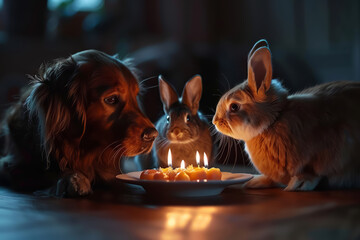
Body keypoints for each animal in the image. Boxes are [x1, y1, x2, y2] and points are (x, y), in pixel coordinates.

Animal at [0, 49, 158, 197]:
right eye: (111, 99)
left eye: (135, 96)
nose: (152, 135)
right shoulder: (12, 164)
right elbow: (44, 173)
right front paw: (73, 178)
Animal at [212, 39, 360, 190]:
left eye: (234, 107)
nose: (215, 121)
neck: (273, 122)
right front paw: (255, 182)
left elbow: (313, 173)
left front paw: (299, 184)